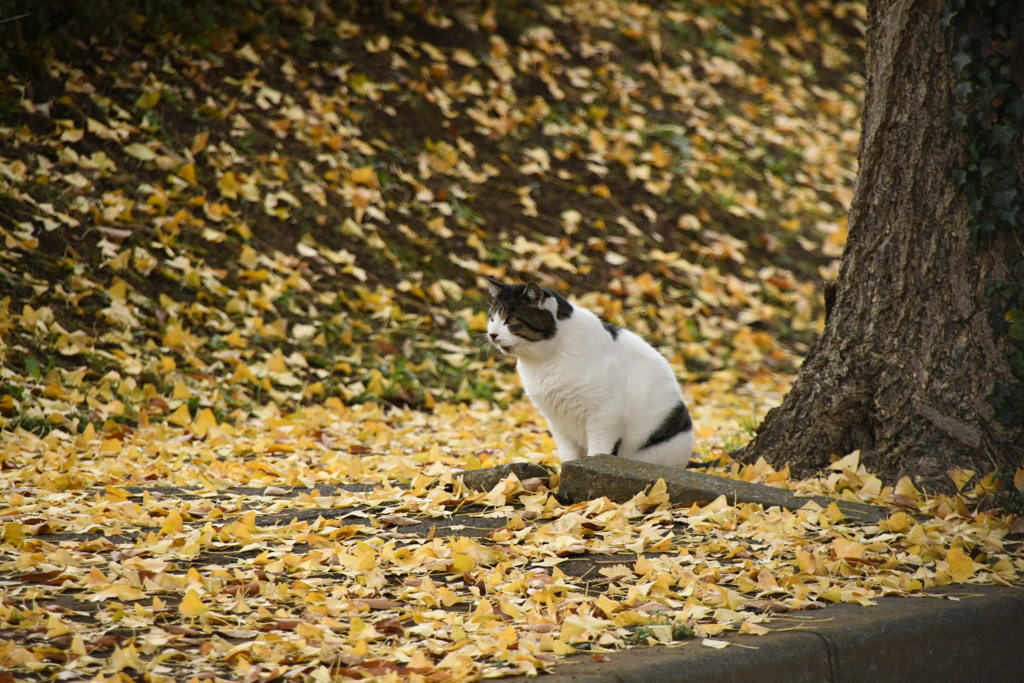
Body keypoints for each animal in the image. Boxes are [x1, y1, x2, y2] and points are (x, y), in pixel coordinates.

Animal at [483, 280, 692, 466]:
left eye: (511, 320)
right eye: (492, 318)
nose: (492, 334)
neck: (544, 360)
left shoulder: (605, 416)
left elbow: (598, 452)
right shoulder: (557, 421)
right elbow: (568, 454)